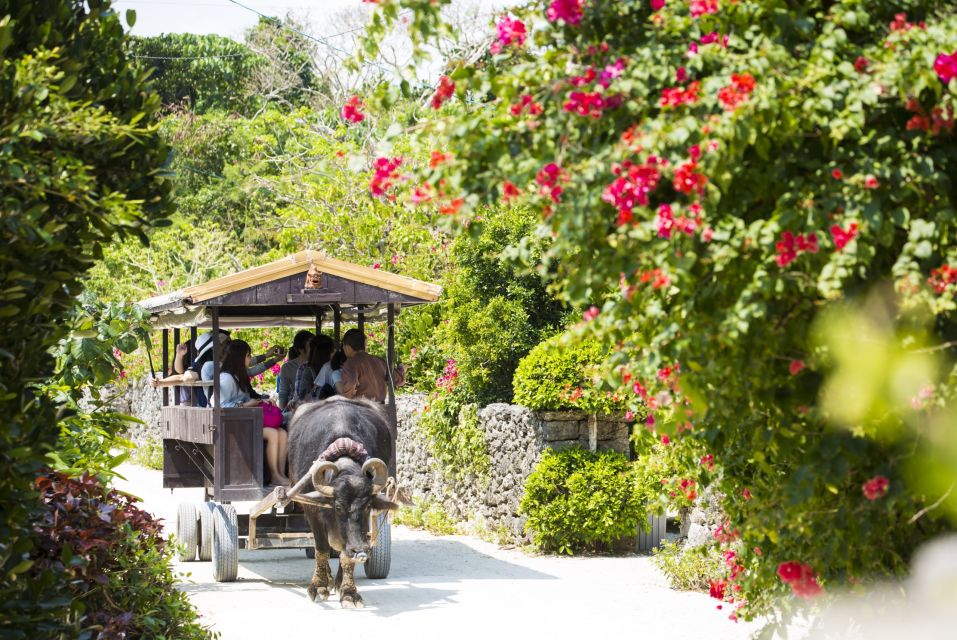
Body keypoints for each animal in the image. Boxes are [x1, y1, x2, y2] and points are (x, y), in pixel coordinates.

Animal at [290, 398, 398, 608]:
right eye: (338, 507)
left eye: (367, 506)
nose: (362, 551)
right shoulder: (312, 510)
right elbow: (322, 549)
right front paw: (319, 586)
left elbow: (345, 555)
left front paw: (348, 592)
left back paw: (338, 582)